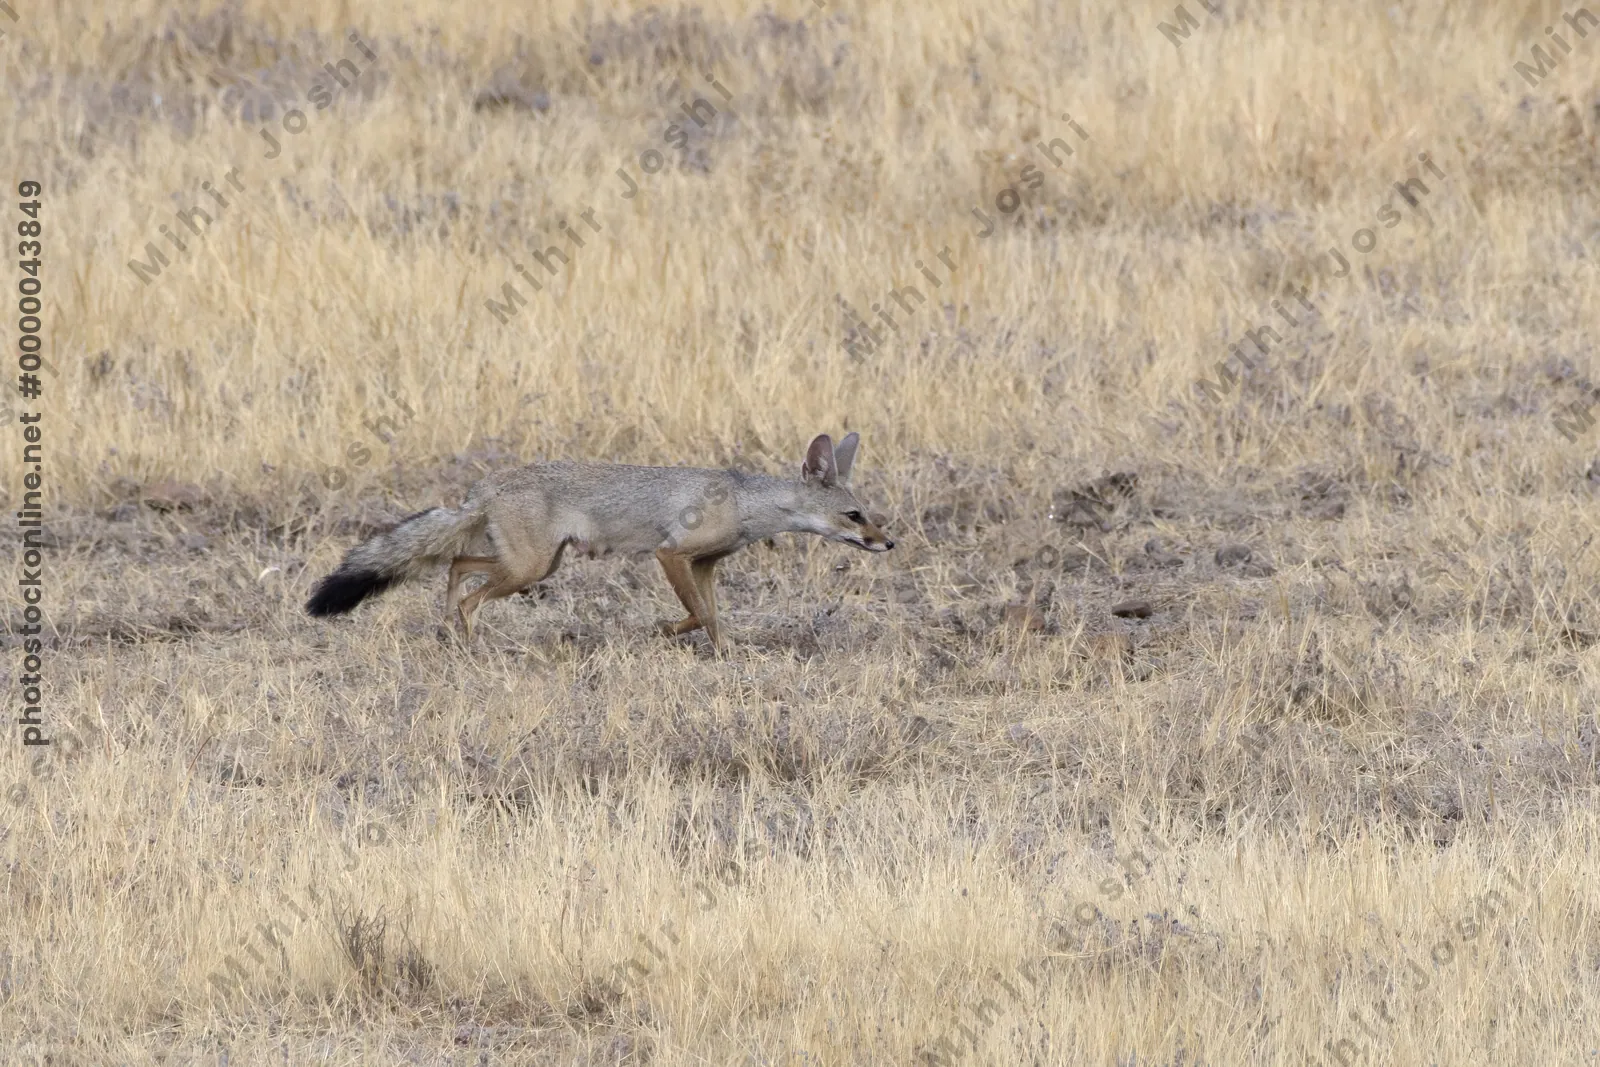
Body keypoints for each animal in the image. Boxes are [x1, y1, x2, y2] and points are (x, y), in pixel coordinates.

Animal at [304, 432, 894, 649]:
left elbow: (713, 618)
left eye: (871, 517)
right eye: (855, 515)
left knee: (455, 567)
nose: (888, 545)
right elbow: (697, 614)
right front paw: (664, 630)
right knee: (469, 590)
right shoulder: (671, 554)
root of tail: (483, 487)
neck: (747, 502)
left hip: (536, 566)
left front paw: (724, 656)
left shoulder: (705, 565)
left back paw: (449, 633)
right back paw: (470, 647)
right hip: (529, 570)